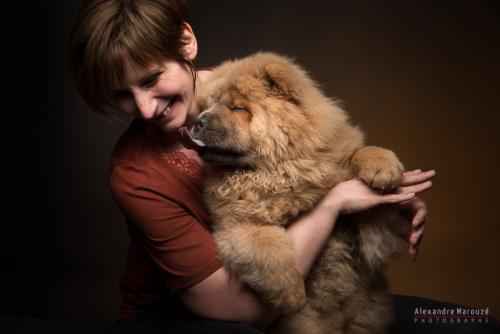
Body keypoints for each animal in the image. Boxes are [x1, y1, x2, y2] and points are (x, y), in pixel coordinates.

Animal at [180, 52, 410, 332]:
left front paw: (383, 167)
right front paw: (293, 296)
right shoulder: (237, 225)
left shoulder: (365, 234)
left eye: (238, 109)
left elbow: (359, 155)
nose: (198, 121)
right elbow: (269, 251)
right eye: (209, 106)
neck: (275, 173)